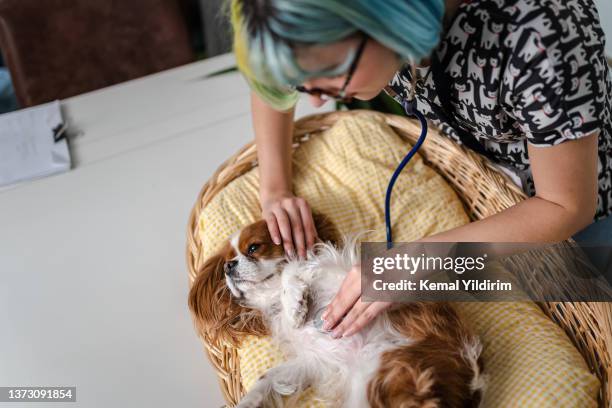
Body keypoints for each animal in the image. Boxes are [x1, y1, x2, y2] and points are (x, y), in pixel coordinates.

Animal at [189, 215, 486, 406]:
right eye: (227, 261)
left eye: (253, 248)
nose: (229, 267)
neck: (271, 298)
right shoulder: (311, 362)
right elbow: (268, 378)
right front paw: (247, 401)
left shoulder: (343, 273)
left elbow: (293, 267)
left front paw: (294, 302)